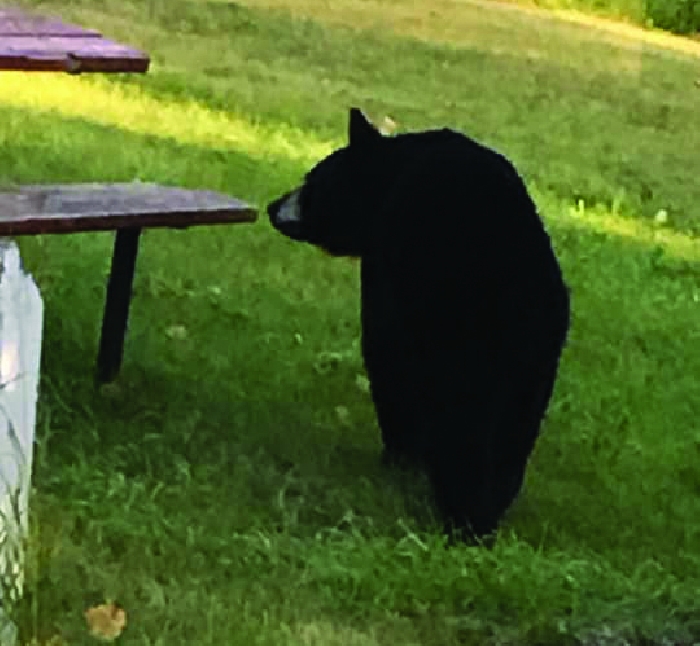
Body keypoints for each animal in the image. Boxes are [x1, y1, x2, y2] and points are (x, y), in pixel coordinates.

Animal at [266, 109, 568, 544]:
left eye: (312, 180)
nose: (273, 207)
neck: (394, 171)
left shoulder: (385, 272)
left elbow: (386, 358)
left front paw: (399, 458)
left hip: (460, 336)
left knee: (461, 420)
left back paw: (462, 516)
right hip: (536, 358)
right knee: (514, 435)